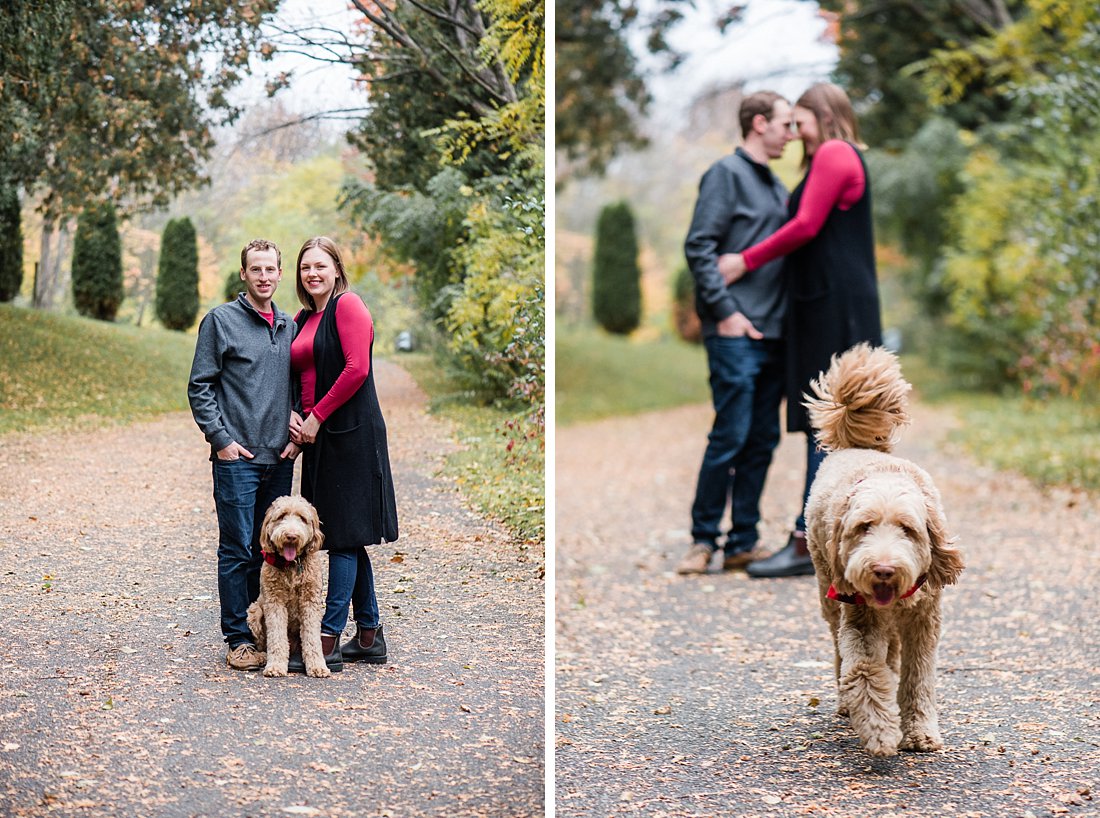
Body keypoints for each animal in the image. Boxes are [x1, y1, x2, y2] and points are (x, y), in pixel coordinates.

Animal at [240, 494, 325, 681]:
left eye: (302, 518)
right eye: (281, 516)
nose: (291, 536)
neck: (291, 564)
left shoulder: (310, 603)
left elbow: (312, 638)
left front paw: (318, 666)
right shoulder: (274, 603)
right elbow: (276, 637)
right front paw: (276, 666)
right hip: (254, 612)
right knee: (263, 642)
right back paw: (262, 656)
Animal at [800, 340, 963, 756]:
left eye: (908, 529)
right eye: (864, 527)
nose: (884, 570)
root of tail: (857, 446)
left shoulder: (925, 620)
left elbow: (919, 676)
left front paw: (919, 731)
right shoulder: (859, 618)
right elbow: (862, 669)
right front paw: (879, 728)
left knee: (892, 653)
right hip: (829, 593)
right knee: (842, 651)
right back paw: (847, 702)